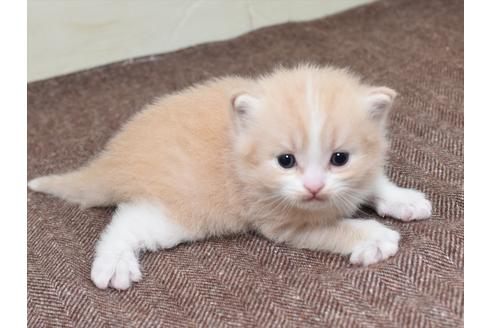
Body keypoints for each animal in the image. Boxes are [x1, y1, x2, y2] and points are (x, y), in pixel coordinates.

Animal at [28, 65, 432, 290]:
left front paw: (403, 199)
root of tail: (116, 156)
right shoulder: (280, 221)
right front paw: (373, 236)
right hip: (181, 213)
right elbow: (333, 228)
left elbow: (372, 180)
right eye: (286, 161)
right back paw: (114, 264)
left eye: (339, 158)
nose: (314, 187)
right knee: (126, 221)